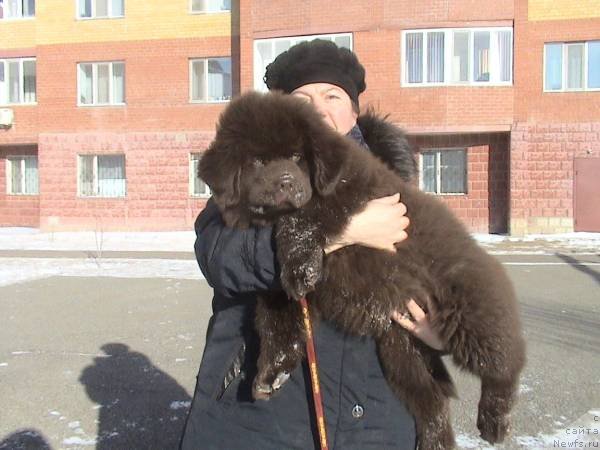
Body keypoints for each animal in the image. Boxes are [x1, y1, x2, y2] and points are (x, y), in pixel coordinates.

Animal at [198, 92, 524, 450]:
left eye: (297, 157)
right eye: (257, 162)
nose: (287, 181)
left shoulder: (348, 193)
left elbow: (302, 217)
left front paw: (300, 267)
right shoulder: (273, 288)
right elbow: (277, 324)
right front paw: (271, 375)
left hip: (469, 315)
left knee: (505, 363)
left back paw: (495, 419)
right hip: (400, 350)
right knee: (431, 401)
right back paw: (436, 440)